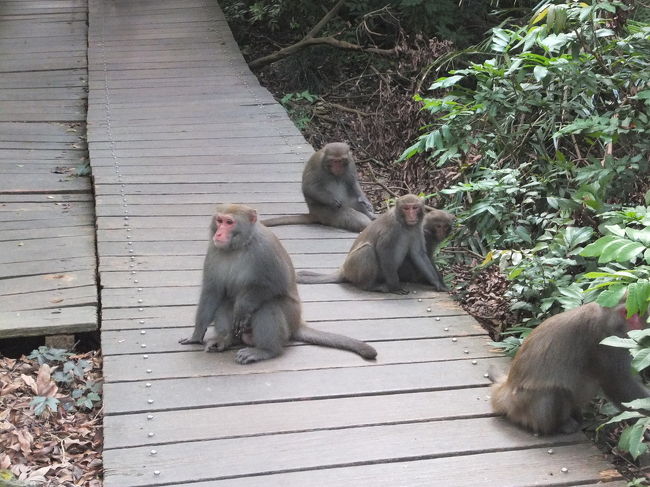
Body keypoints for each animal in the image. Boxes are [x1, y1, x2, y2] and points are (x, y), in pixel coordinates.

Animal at [180, 203, 378, 366]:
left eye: (229, 222)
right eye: (219, 220)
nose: (218, 233)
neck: (239, 246)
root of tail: (297, 323)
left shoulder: (265, 249)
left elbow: (275, 285)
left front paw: (243, 306)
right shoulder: (214, 250)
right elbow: (212, 292)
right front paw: (196, 335)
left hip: (289, 318)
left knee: (269, 304)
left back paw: (266, 351)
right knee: (225, 301)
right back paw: (226, 339)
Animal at [488, 304, 644, 436]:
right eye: (633, 314)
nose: (640, 324)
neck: (608, 317)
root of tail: (505, 390)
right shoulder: (606, 342)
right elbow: (619, 385)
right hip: (524, 405)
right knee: (555, 392)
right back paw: (560, 425)